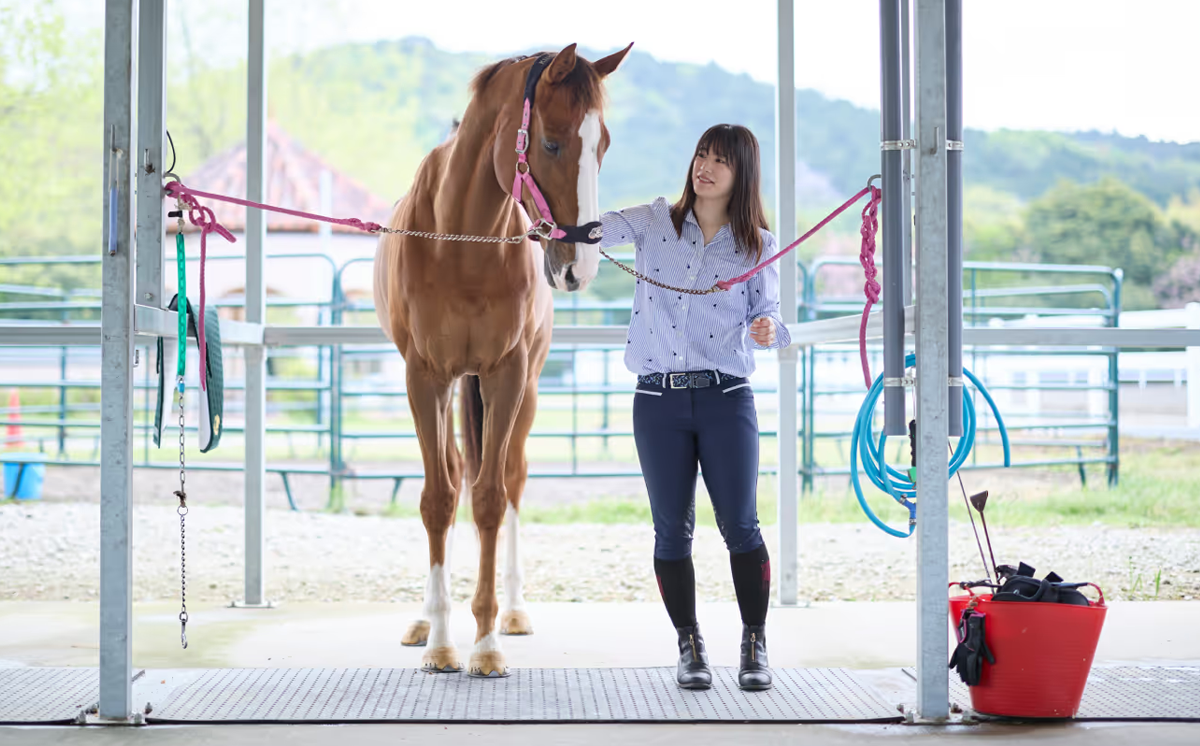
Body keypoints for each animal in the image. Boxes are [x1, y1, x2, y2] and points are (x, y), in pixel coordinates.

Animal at [373, 43, 632, 677]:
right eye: (553, 143)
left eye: (603, 143)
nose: (580, 267)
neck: (462, 242)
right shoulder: (424, 378)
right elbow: (439, 498)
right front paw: (442, 642)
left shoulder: (507, 375)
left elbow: (490, 498)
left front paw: (486, 643)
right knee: (452, 472)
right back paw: (425, 619)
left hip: (526, 390)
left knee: (511, 478)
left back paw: (512, 611)